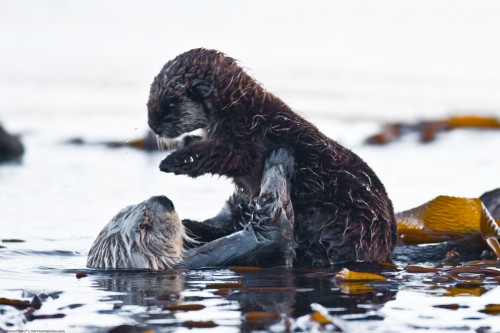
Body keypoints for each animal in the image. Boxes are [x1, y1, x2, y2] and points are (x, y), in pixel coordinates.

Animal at [146, 48, 396, 266]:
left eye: (170, 103)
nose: (152, 124)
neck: (239, 108)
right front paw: (187, 142)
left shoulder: (248, 140)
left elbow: (224, 156)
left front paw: (172, 161)